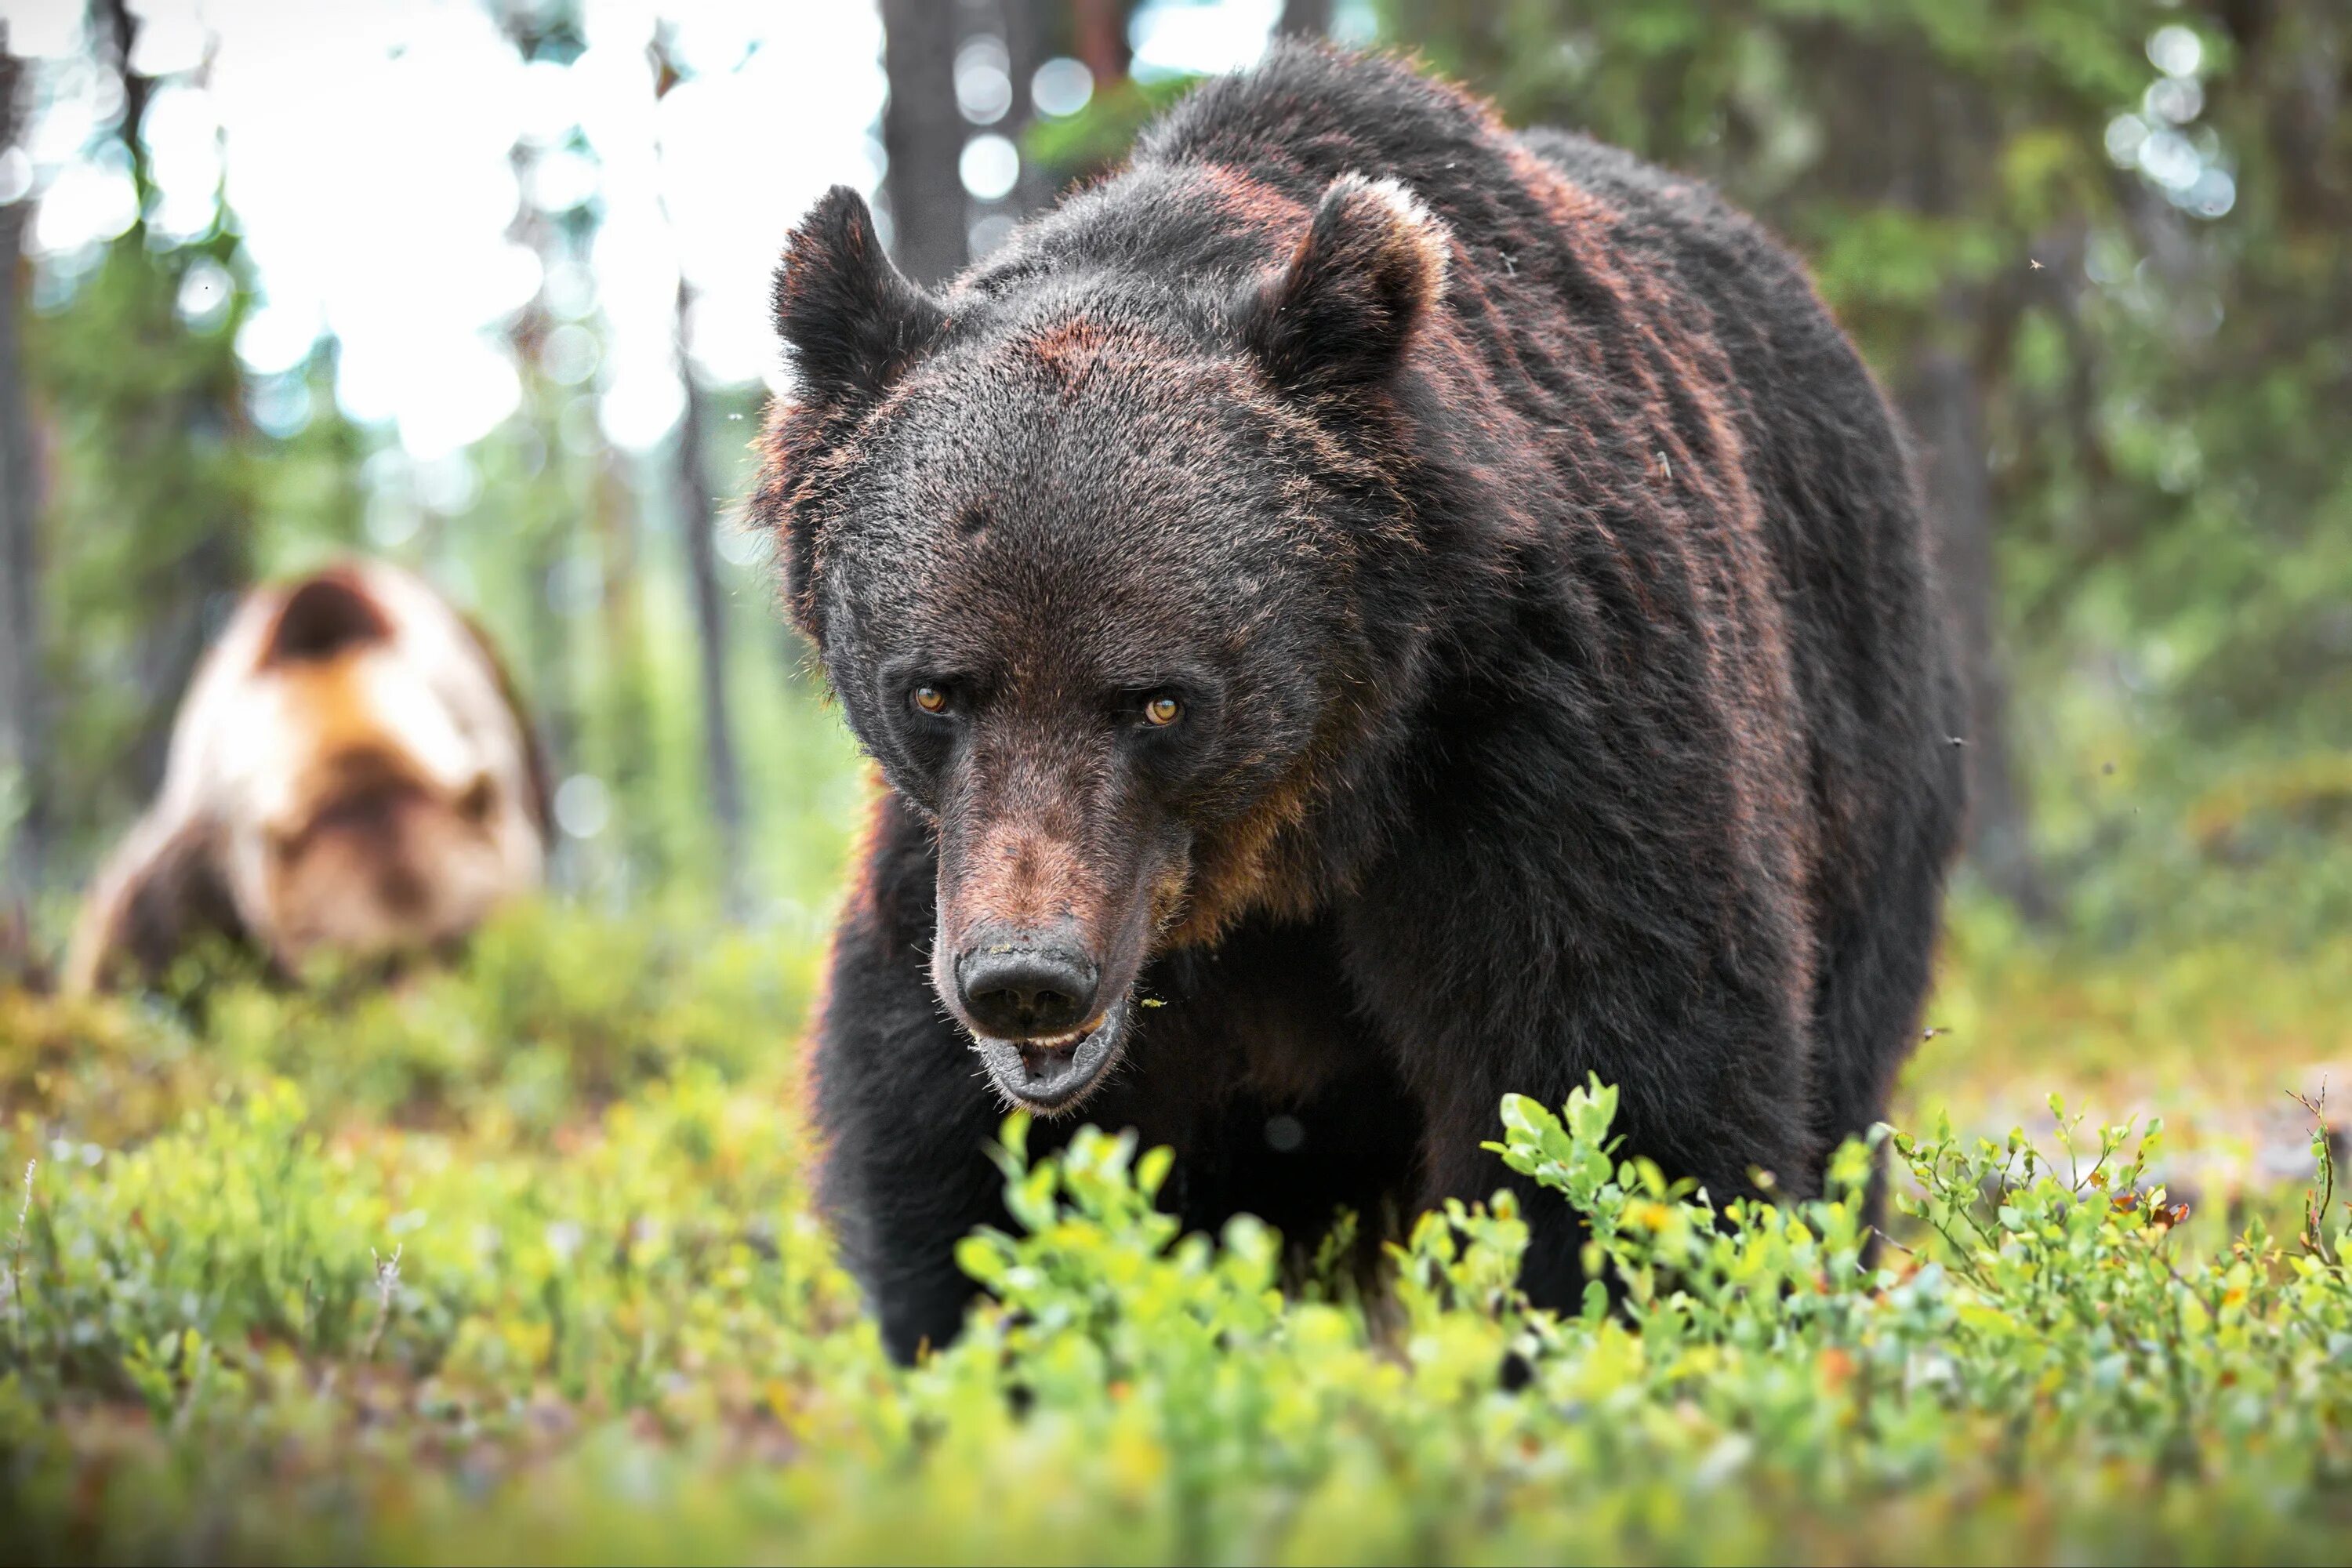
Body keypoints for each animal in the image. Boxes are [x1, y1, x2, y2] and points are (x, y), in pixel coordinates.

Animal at [753, 45, 1966, 1363]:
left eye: (1158, 703)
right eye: (935, 689)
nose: (1028, 978)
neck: (1309, 815)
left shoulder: (1551, 730)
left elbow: (1618, 1097)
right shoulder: (944, 863)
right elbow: (955, 1156)